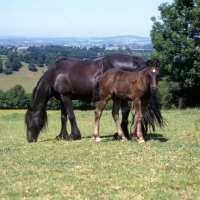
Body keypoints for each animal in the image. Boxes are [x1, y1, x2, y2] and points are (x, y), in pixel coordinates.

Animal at [24, 53, 164, 143]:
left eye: (28, 122)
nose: (29, 139)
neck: (55, 75)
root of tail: (134, 60)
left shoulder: (66, 97)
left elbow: (71, 116)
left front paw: (74, 135)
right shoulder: (62, 98)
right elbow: (63, 117)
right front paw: (62, 136)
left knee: (125, 111)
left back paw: (122, 134)